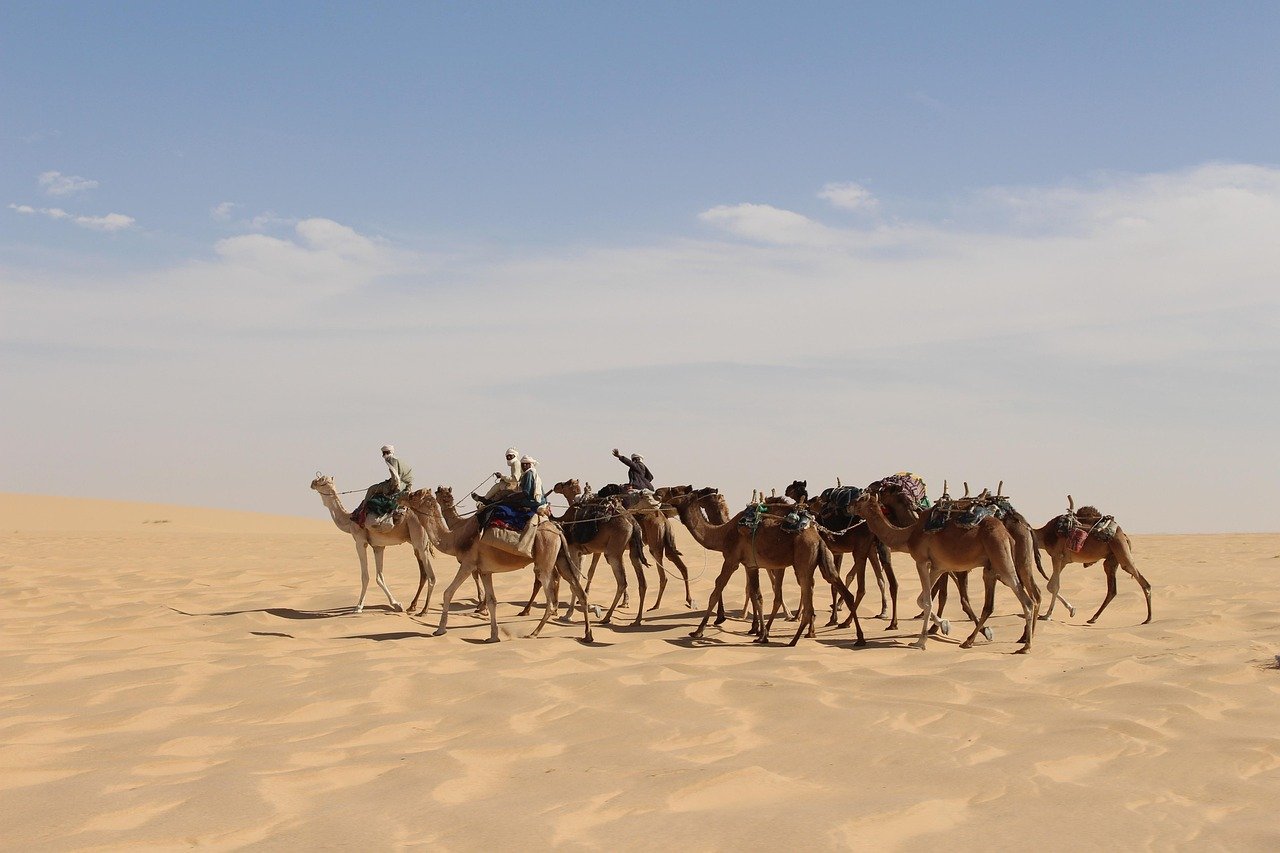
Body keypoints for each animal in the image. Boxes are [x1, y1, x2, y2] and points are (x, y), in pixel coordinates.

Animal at [310, 474, 434, 614]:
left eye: (322, 480)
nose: (312, 483)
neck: (350, 520)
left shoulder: (360, 542)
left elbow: (365, 576)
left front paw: (358, 607)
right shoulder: (378, 546)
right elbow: (379, 577)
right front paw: (396, 605)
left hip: (420, 540)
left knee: (431, 575)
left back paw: (424, 610)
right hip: (416, 543)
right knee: (424, 573)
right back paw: (413, 606)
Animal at [400, 490, 594, 643]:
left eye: (414, 494)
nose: (402, 496)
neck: (456, 538)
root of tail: (557, 530)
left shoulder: (468, 564)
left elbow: (448, 592)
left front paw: (440, 630)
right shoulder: (485, 570)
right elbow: (492, 601)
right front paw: (493, 636)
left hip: (545, 560)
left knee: (551, 599)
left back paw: (534, 633)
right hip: (561, 559)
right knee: (579, 591)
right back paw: (587, 635)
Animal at [669, 489, 866, 647]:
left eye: (679, 493)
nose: (666, 500)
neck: (723, 534)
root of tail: (817, 538)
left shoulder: (731, 560)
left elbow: (716, 591)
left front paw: (697, 631)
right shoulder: (751, 565)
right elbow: (757, 596)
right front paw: (761, 635)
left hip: (803, 560)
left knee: (809, 601)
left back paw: (795, 639)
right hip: (823, 559)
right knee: (841, 591)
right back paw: (858, 637)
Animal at [851, 490, 1038, 653]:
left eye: (859, 500)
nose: (848, 507)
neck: (909, 535)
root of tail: (1007, 534)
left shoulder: (921, 561)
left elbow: (927, 601)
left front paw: (920, 641)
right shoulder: (938, 567)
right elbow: (921, 599)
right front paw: (945, 625)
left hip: (1001, 557)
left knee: (1028, 600)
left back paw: (1025, 646)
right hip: (992, 567)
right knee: (997, 603)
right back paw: (971, 641)